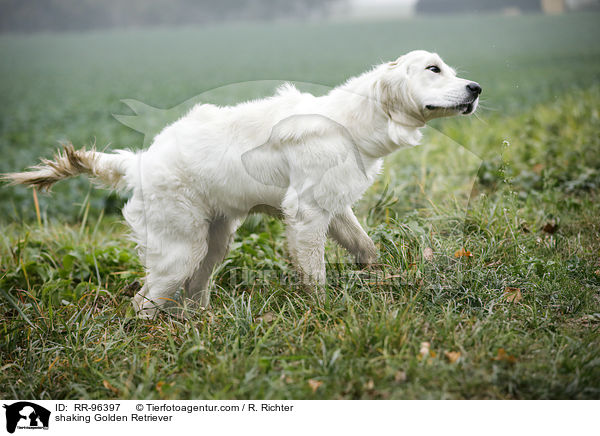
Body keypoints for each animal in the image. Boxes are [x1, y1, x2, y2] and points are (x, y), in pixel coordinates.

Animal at [4, 50, 480, 316]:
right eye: (433, 69)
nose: (476, 88)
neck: (350, 122)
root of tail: (140, 161)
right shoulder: (306, 215)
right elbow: (316, 275)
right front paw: (324, 313)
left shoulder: (335, 208)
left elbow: (367, 248)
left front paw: (386, 278)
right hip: (179, 252)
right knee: (144, 302)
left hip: (213, 244)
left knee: (192, 292)